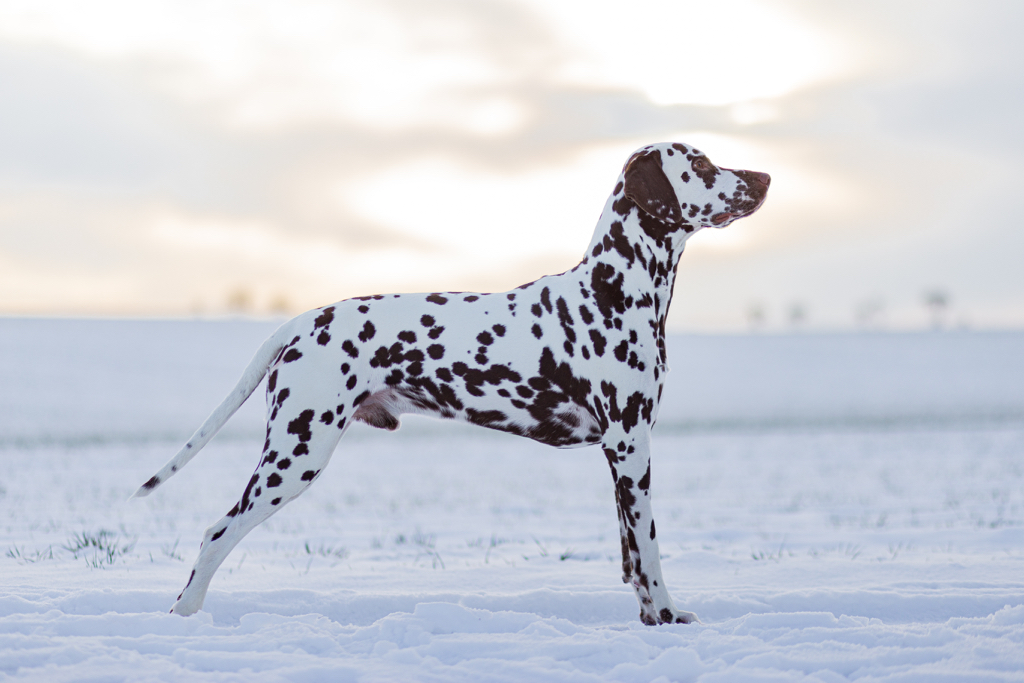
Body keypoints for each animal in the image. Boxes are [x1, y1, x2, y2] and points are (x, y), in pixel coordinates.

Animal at [134, 143, 770, 626]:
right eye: (702, 163)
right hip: (295, 455)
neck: (613, 291)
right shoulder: (632, 446)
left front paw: (648, 618)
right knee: (216, 533)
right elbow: (651, 552)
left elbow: (631, 559)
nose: (765, 176)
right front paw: (667, 616)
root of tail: (301, 321)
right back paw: (185, 617)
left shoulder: (619, 457)